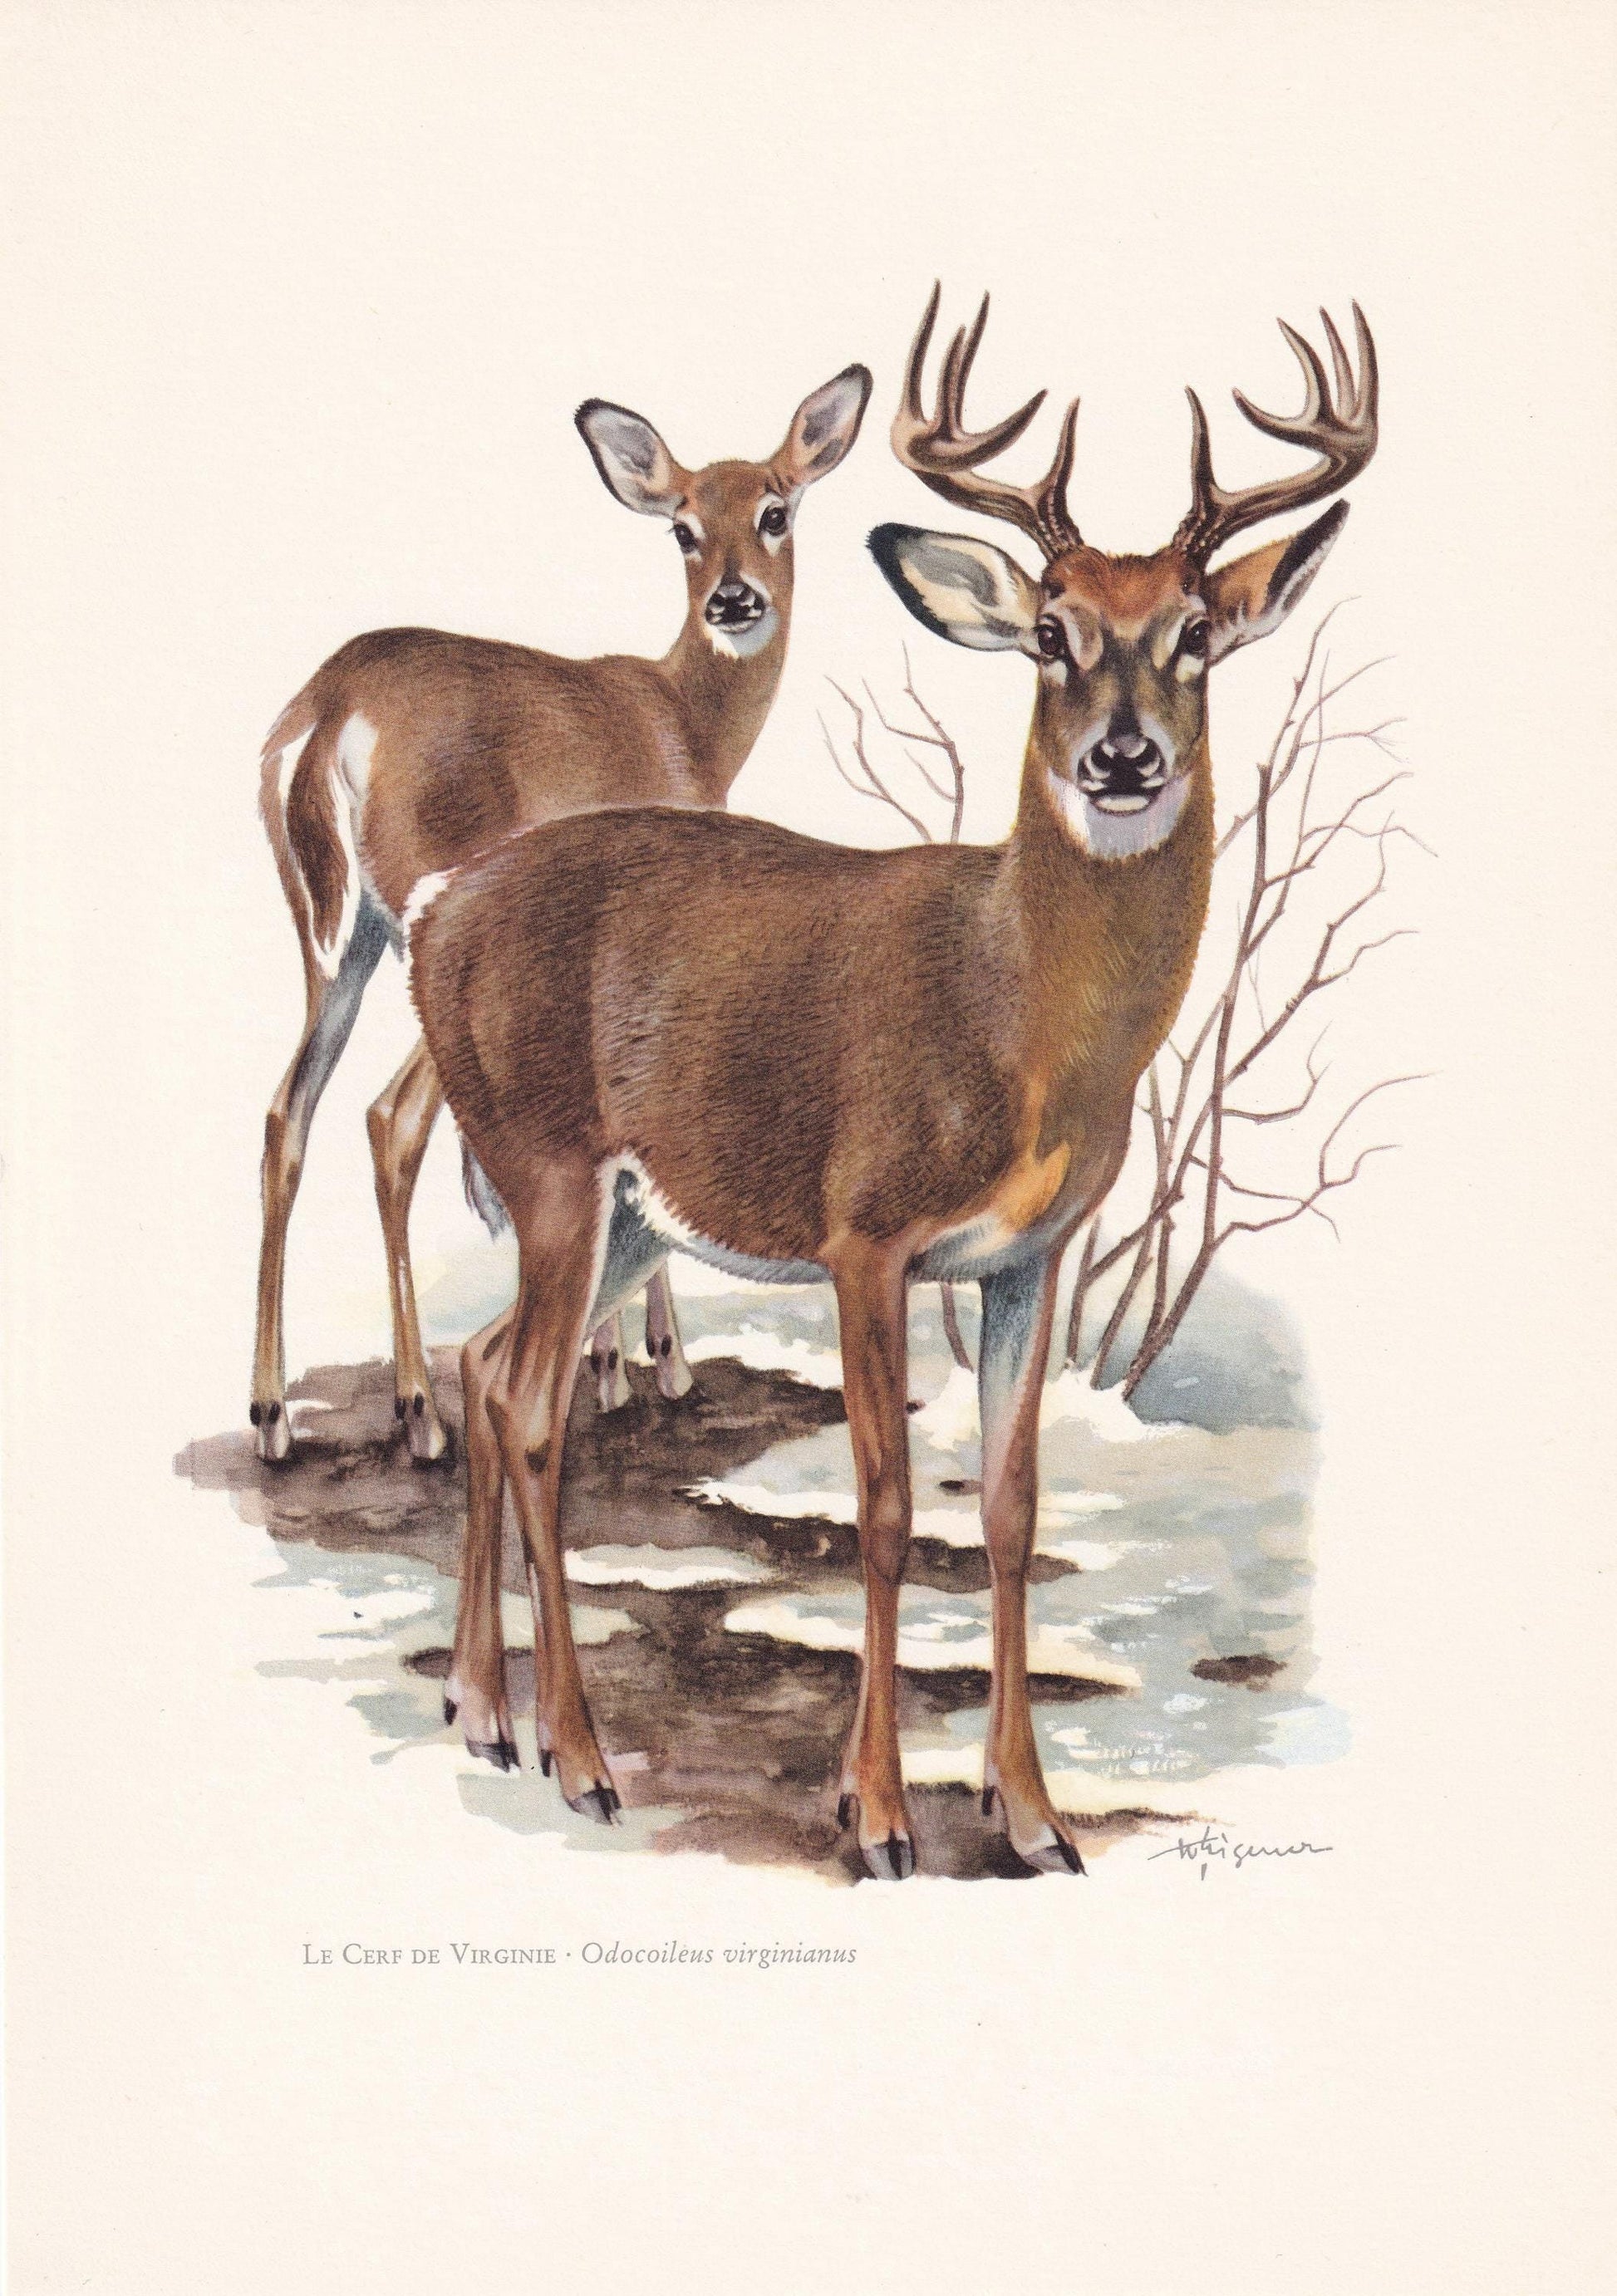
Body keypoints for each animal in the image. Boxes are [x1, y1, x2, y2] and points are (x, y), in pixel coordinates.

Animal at [249, 360, 873, 1463]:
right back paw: (419, 1411)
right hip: (430, 923)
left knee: (288, 1113)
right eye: (682, 528)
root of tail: (325, 715)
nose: (734, 599)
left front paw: (611, 1363)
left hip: (335, 941)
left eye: (774, 510)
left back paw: (273, 1414)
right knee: (389, 1118)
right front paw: (655, 1363)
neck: (685, 725)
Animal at [406, 287, 1378, 1876]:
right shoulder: (864, 1230)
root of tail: (436, 913)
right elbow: (880, 1502)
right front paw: (874, 1813)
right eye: (1047, 631)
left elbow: (1008, 1506)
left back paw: (483, 1712)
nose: (1121, 755)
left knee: (486, 1369)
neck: (1014, 1018)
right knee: (538, 1409)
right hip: (548, 1160)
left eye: (1193, 637)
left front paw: (1031, 1812)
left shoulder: (1030, 1254)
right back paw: (581, 1759)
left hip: (630, 1219)